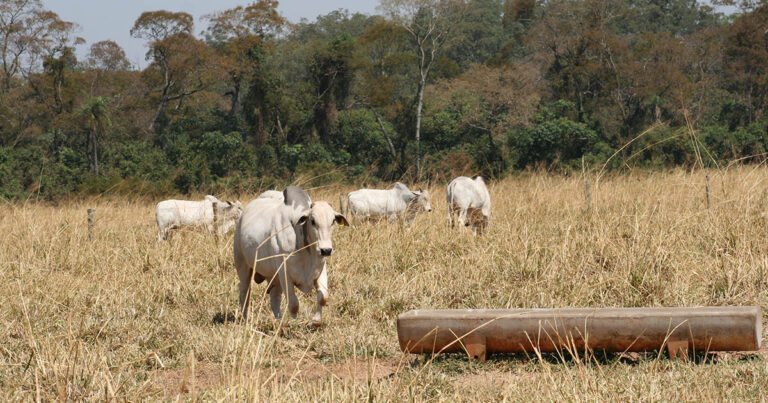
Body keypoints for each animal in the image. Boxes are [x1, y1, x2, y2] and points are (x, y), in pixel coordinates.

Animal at [234, 188, 348, 324]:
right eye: (313, 221)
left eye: (333, 221)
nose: (326, 250)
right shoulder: (284, 274)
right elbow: (294, 304)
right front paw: (294, 323)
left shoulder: (320, 269)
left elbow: (323, 297)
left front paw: (316, 321)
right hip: (243, 266)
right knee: (244, 293)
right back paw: (244, 320)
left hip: (274, 277)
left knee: (275, 297)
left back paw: (278, 321)